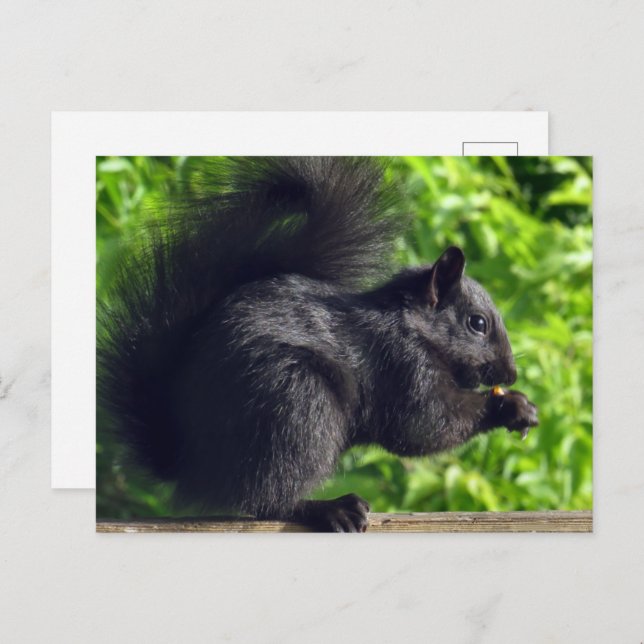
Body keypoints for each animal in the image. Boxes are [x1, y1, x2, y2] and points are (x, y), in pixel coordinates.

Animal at [98, 156, 538, 532]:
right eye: (477, 324)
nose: (511, 373)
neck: (412, 326)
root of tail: (193, 462)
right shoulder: (403, 366)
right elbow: (424, 425)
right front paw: (509, 407)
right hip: (298, 403)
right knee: (265, 499)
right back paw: (329, 508)